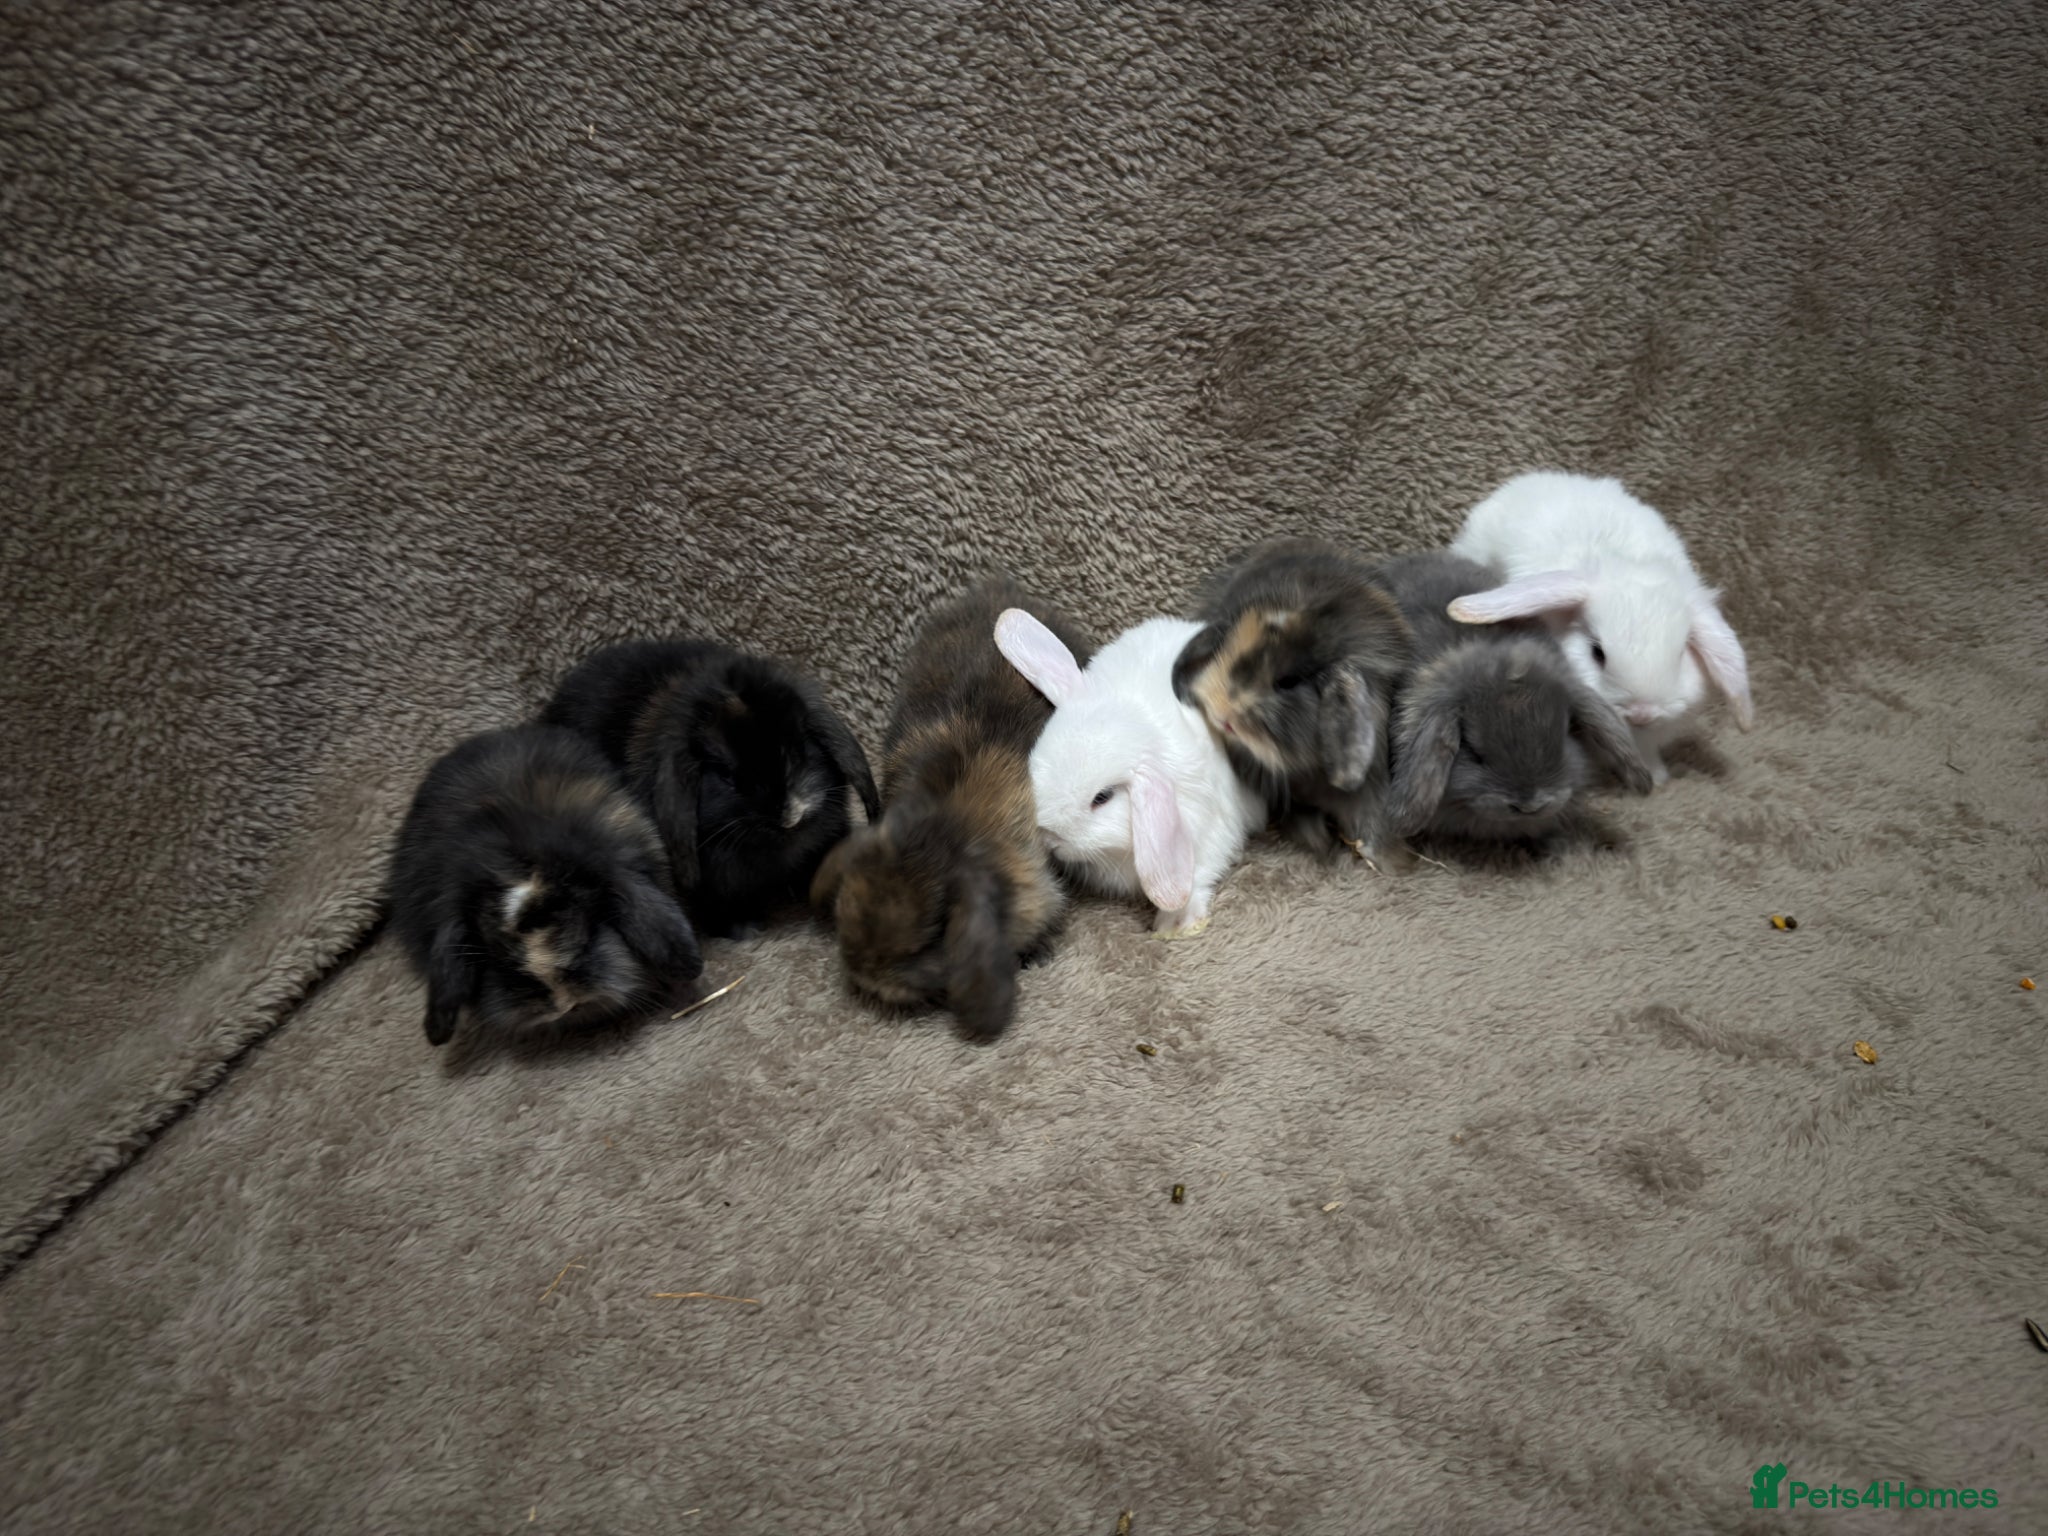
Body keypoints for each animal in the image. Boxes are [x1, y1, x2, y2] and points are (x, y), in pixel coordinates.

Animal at [1171, 536, 1413, 867]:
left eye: (1288, 682)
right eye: (1227, 649)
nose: (1221, 715)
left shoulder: (1370, 788)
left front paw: (1386, 859)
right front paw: (1318, 840)